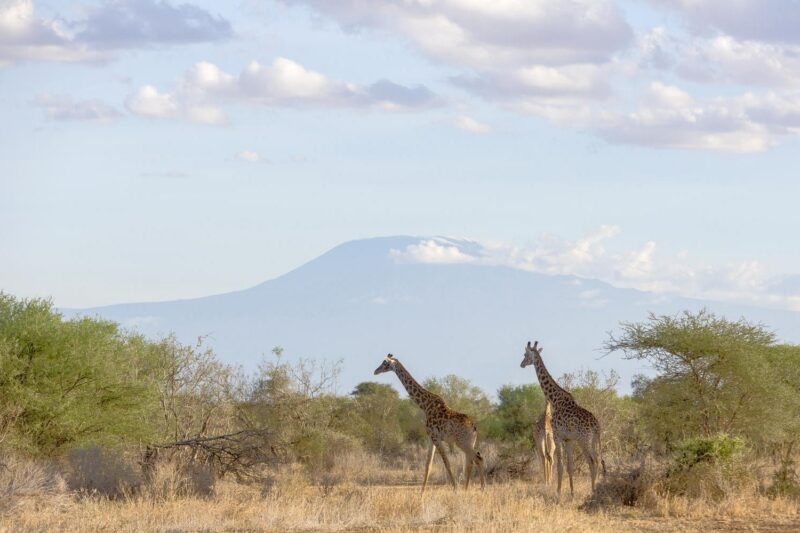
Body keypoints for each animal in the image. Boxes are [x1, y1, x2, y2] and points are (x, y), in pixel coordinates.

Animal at [374, 353, 486, 491]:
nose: (375, 371)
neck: (425, 405)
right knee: (471, 461)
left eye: (385, 363)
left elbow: (446, 463)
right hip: (469, 442)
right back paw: (467, 489)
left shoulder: (436, 437)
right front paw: (421, 493)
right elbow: (428, 465)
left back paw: (481, 488)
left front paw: (455, 489)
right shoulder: (430, 438)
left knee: (478, 458)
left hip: (462, 442)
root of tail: (474, 428)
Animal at [520, 341, 605, 497]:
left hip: (584, 439)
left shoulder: (557, 435)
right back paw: (594, 488)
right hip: (593, 440)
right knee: (597, 460)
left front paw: (558, 492)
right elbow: (569, 465)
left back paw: (593, 491)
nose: (521, 364)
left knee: (593, 461)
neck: (555, 400)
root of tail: (596, 425)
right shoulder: (568, 439)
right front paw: (571, 493)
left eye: (525, 354)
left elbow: (559, 465)